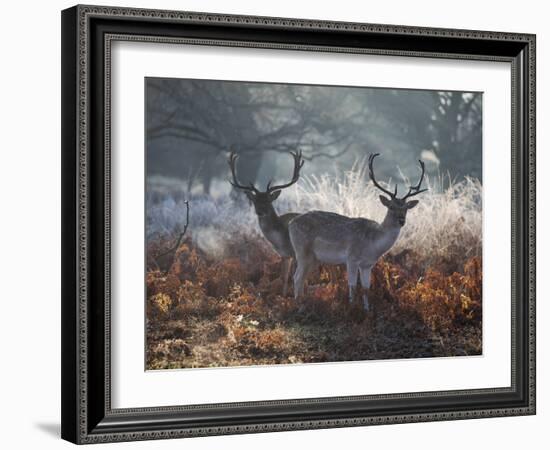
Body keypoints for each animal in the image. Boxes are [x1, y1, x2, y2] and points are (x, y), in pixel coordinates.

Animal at [229, 149, 306, 296]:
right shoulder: (284, 255)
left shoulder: (296, 253)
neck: (281, 239)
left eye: (268, 201)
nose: (260, 211)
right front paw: (283, 296)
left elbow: (297, 278)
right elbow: (284, 278)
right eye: (255, 201)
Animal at [292, 153, 430, 312]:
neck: (373, 245)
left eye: (406, 208)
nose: (402, 220)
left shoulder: (367, 264)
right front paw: (351, 308)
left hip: (314, 258)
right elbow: (352, 285)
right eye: (391, 207)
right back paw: (298, 306)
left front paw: (367, 310)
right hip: (302, 252)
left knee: (302, 278)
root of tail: (291, 223)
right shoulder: (351, 258)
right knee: (297, 277)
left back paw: (303, 303)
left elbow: (366, 288)